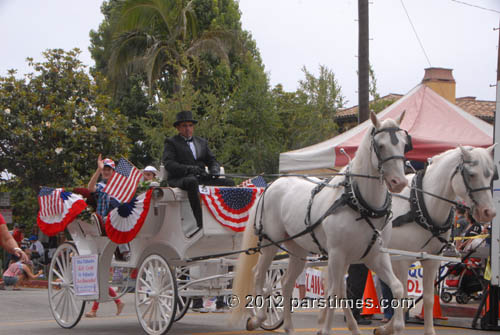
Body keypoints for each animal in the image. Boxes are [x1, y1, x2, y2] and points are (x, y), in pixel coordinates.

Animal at [230, 111, 410, 334]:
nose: (399, 182)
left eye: (404, 144)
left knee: (287, 283)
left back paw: (289, 327)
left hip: (297, 249)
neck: (358, 202)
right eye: (381, 145)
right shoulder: (336, 254)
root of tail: (272, 184)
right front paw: (325, 329)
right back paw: (258, 318)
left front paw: (393, 326)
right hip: (270, 243)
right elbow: (334, 292)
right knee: (259, 275)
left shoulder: (374, 256)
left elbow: (397, 287)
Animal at [376, 146, 496, 335]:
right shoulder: (401, 259)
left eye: (491, 175)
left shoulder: (430, 260)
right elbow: (402, 295)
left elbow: (428, 299)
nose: (488, 212)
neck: (421, 205)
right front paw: (394, 326)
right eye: (471, 174)